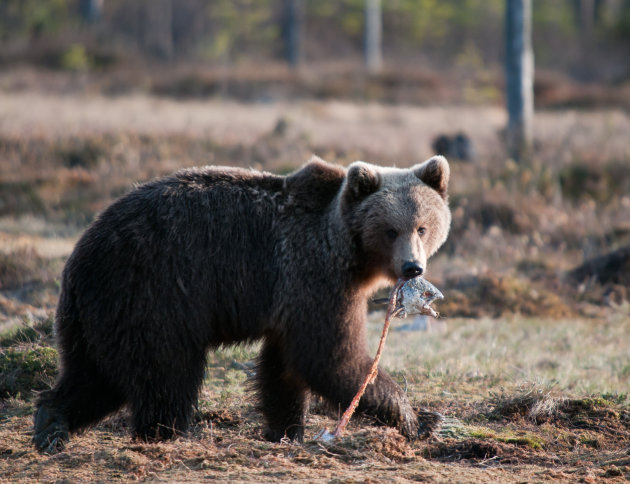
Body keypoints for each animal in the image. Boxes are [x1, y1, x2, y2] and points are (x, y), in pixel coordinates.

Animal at [33, 156, 450, 454]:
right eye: (391, 229)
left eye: (423, 226)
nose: (412, 267)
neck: (347, 252)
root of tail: (81, 253)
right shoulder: (313, 277)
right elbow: (330, 357)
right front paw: (415, 419)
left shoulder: (288, 300)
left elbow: (283, 369)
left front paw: (285, 430)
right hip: (153, 293)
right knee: (165, 374)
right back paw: (164, 434)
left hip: (96, 315)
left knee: (93, 375)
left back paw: (51, 424)